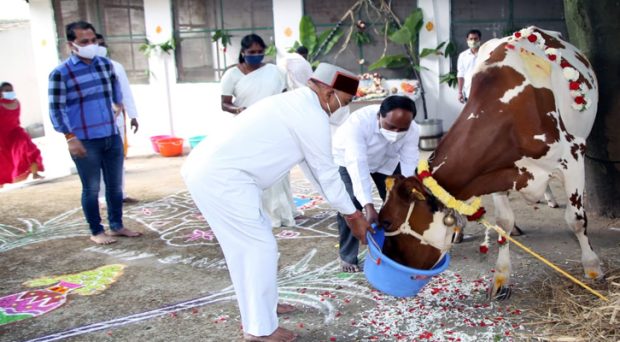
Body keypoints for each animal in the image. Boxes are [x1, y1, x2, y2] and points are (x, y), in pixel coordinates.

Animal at [378, 26, 600, 300]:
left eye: (386, 221)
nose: (386, 262)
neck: (512, 111)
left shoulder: (573, 156)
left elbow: (577, 220)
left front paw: (592, 267)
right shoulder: (498, 173)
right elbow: (503, 223)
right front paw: (501, 278)